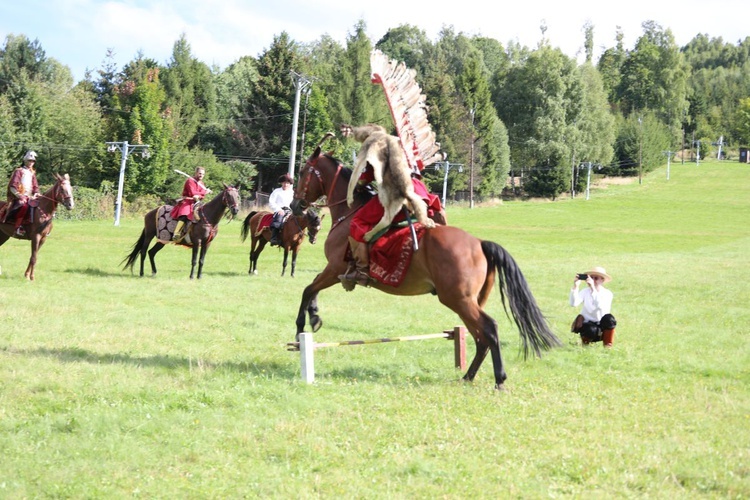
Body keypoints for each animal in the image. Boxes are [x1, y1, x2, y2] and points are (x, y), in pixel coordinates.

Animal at [290, 138, 560, 390]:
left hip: (458, 300)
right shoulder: (334, 271)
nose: (295, 205)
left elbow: (307, 289)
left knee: (490, 328)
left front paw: (302, 327)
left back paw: (499, 379)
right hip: (467, 302)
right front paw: (314, 316)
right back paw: (468, 376)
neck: (349, 211)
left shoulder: (335, 269)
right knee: (480, 337)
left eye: (303, 172)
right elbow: (311, 289)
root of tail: (479, 243)